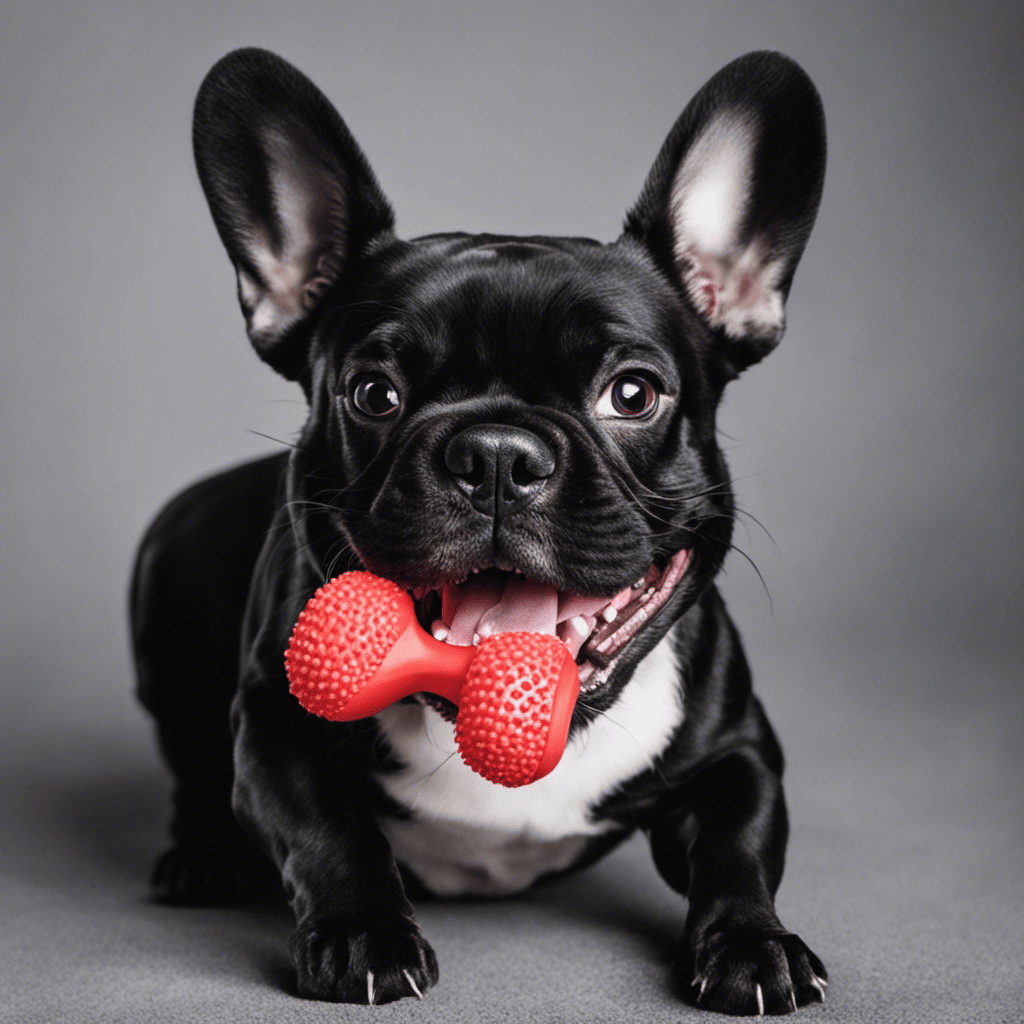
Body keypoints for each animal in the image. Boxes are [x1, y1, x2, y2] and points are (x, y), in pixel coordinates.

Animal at [132, 49, 827, 1015]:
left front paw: (753, 944)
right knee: (190, 765)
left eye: (634, 393)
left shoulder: (741, 754)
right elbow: (327, 831)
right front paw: (364, 934)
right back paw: (195, 857)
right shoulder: (274, 724)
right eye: (373, 393)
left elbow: (740, 845)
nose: (496, 452)